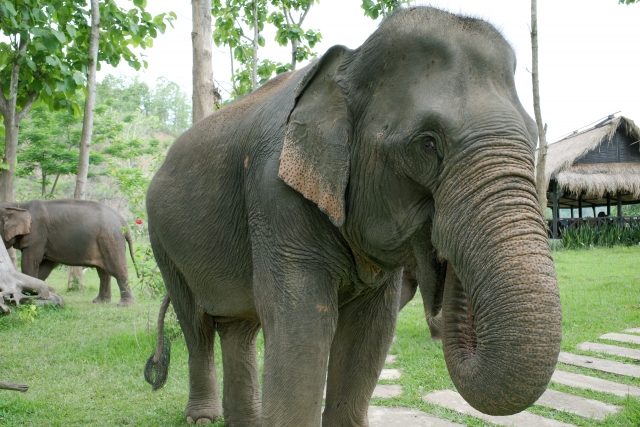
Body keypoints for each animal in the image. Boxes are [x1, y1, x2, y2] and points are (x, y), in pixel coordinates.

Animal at [0, 199, 136, 306]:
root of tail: (123, 221)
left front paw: (30, 295)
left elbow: (31, 262)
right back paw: (100, 301)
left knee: (117, 268)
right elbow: (47, 265)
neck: (18, 205)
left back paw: (125, 305)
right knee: (103, 273)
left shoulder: (37, 235)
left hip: (111, 239)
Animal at [145, 7, 560, 427]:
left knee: (237, 328)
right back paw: (203, 417)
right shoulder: (274, 196)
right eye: (428, 144)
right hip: (161, 239)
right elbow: (303, 326)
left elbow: (370, 331)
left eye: (533, 138)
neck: (350, 61)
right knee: (196, 324)